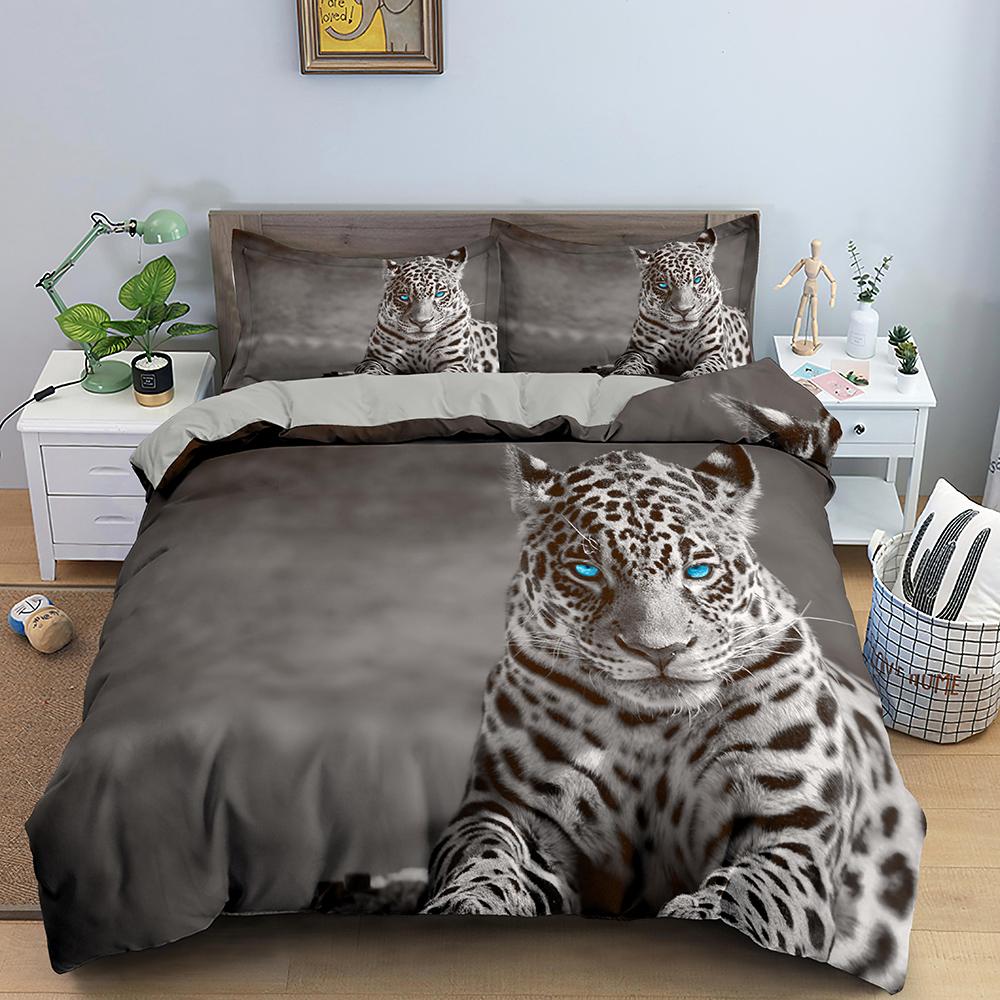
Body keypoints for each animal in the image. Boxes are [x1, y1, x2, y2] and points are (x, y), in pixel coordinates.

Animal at [354, 248, 500, 375]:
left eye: (439, 294)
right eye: (404, 297)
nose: (421, 322)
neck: (419, 345)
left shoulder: (456, 363)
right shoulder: (375, 358)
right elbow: (371, 370)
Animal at [421, 407, 924, 994]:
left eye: (698, 570)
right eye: (586, 572)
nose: (659, 650)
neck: (651, 726)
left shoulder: (793, 825)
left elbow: (749, 893)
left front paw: (700, 921)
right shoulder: (505, 806)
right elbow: (485, 861)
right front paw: (464, 908)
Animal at [606, 229, 752, 378]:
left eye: (697, 280)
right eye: (663, 285)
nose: (683, 311)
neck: (680, 335)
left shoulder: (715, 354)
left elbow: (706, 368)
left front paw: (692, 374)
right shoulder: (638, 350)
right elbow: (633, 360)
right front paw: (625, 371)